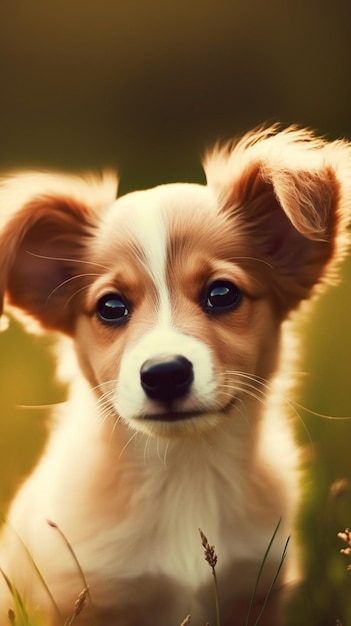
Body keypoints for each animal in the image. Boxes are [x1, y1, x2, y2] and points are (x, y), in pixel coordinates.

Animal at [0, 124, 350, 620]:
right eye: (110, 306)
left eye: (222, 294)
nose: (165, 374)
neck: (184, 470)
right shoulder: (78, 598)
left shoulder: (256, 593)